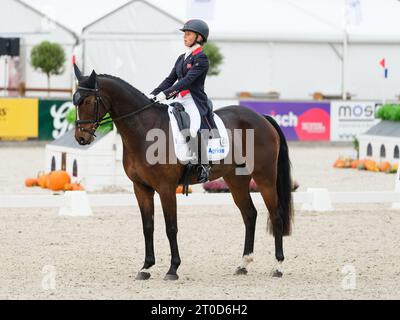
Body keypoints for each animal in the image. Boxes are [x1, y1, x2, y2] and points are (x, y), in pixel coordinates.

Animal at [72, 66, 294, 282]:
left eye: (89, 101)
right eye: (75, 101)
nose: (81, 138)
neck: (144, 129)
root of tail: (261, 118)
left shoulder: (166, 188)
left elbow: (171, 228)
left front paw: (173, 269)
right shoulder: (141, 188)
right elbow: (148, 227)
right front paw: (146, 267)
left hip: (264, 177)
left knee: (276, 215)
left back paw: (278, 266)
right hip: (236, 180)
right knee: (249, 214)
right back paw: (243, 264)